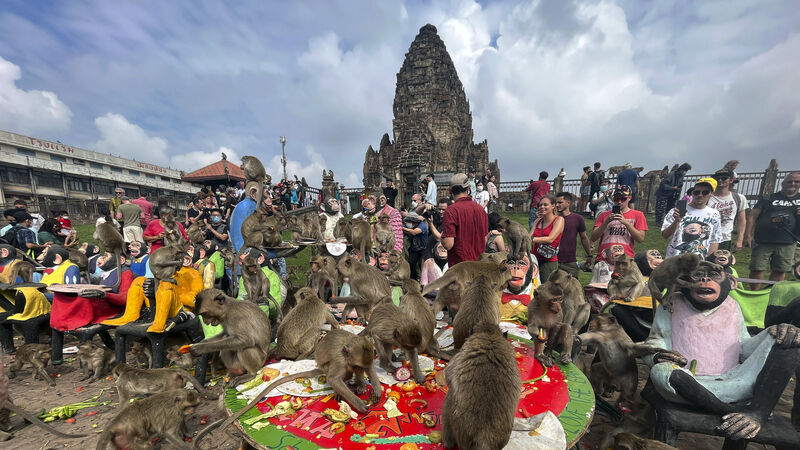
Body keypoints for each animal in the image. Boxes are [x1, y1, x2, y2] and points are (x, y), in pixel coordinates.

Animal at [193, 329, 381, 447]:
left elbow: (368, 366)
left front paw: (376, 390)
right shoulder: (341, 361)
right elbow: (334, 379)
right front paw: (358, 404)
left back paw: (359, 384)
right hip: (326, 366)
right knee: (335, 376)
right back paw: (343, 392)